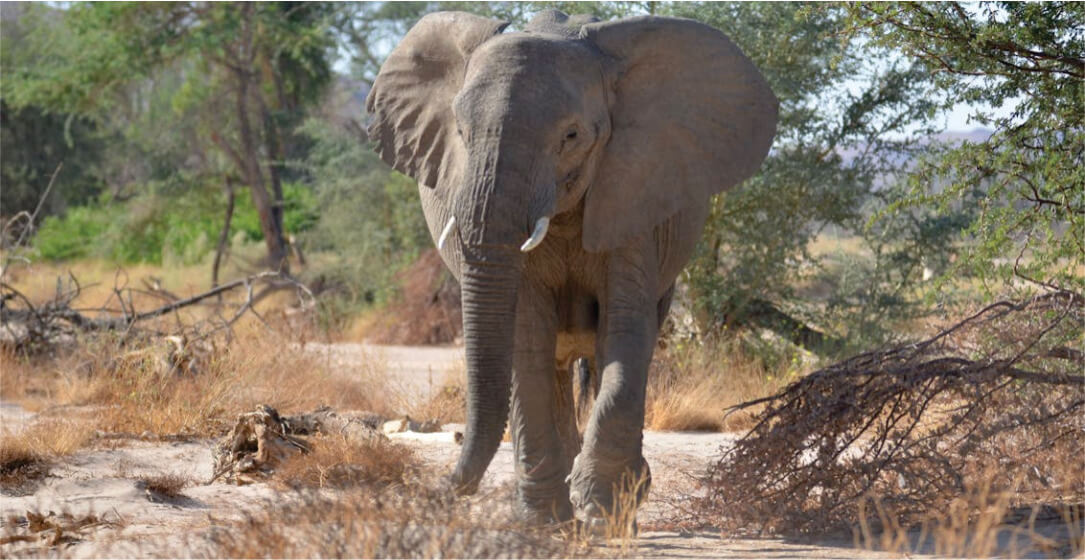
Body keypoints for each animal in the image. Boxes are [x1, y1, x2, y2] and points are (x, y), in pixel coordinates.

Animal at [365, 9, 777, 527]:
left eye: (572, 136)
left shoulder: (633, 195)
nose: (442, 491)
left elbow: (625, 330)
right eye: (459, 131)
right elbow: (526, 338)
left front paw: (601, 510)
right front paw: (544, 523)